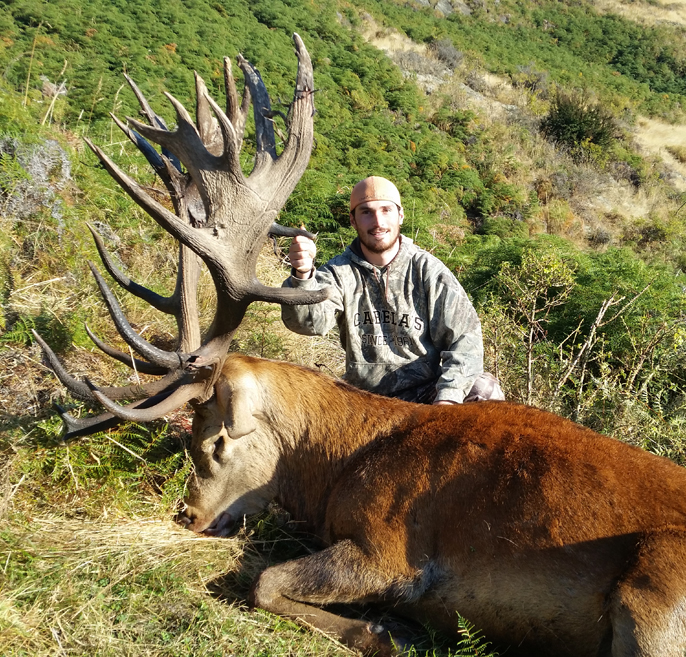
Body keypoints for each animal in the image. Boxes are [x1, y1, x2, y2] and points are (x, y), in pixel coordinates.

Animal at [33, 35, 686, 657]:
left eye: (217, 440)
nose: (189, 515)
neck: (341, 461)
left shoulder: (391, 549)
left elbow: (263, 582)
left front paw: (386, 632)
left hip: (654, 598)